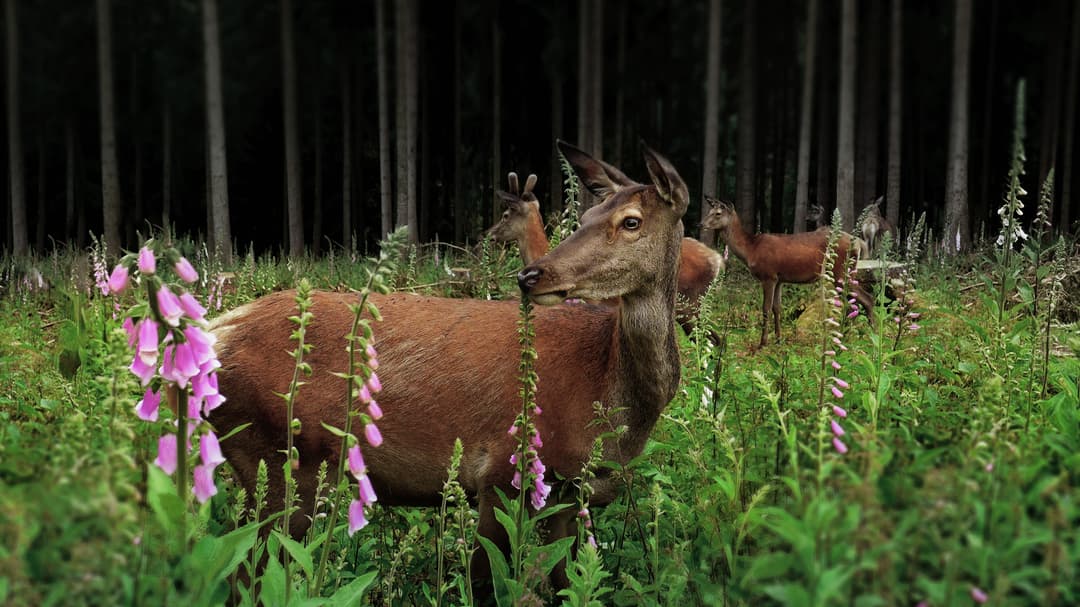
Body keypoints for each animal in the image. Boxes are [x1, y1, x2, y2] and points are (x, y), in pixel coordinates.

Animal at [206, 140, 686, 587]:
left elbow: (567, 580)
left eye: (631, 221)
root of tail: (216, 330)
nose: (531, 275)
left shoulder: (571, 495)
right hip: (277, 461)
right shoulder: (500, 474)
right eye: (584, 219)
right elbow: (485, 580)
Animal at [699, 197, 868, 347]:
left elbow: (766, 308)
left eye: (718, 213)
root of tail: (860, 243)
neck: (751, 249)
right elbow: (777, 308)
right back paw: (847, 335)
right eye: (709, 210)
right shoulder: (779, 279)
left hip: (841, 271)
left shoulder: (769, 276)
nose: (700, 224)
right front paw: (778, 339)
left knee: (865, 299)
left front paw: (763, 342)